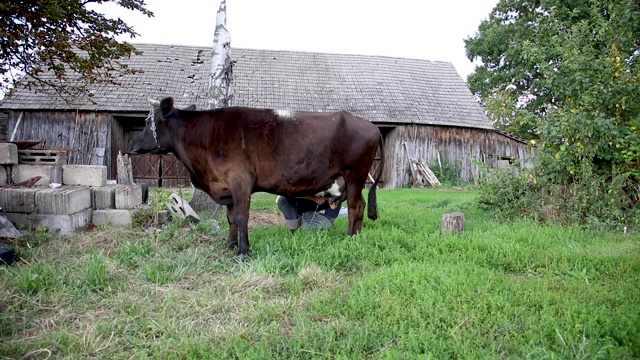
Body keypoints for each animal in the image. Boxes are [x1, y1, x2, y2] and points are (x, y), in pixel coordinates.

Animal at [127, 97, 382, 258]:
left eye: (148, 122)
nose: (133, 145)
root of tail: (371, 126)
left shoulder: (241, 181)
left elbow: (241, 217)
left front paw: (243, 252)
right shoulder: (226, 187)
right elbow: (230, 218)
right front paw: (230, 245)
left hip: (355, 175)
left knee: (356, 207)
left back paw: (351, 238)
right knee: (359, 205)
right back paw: (357, 236)